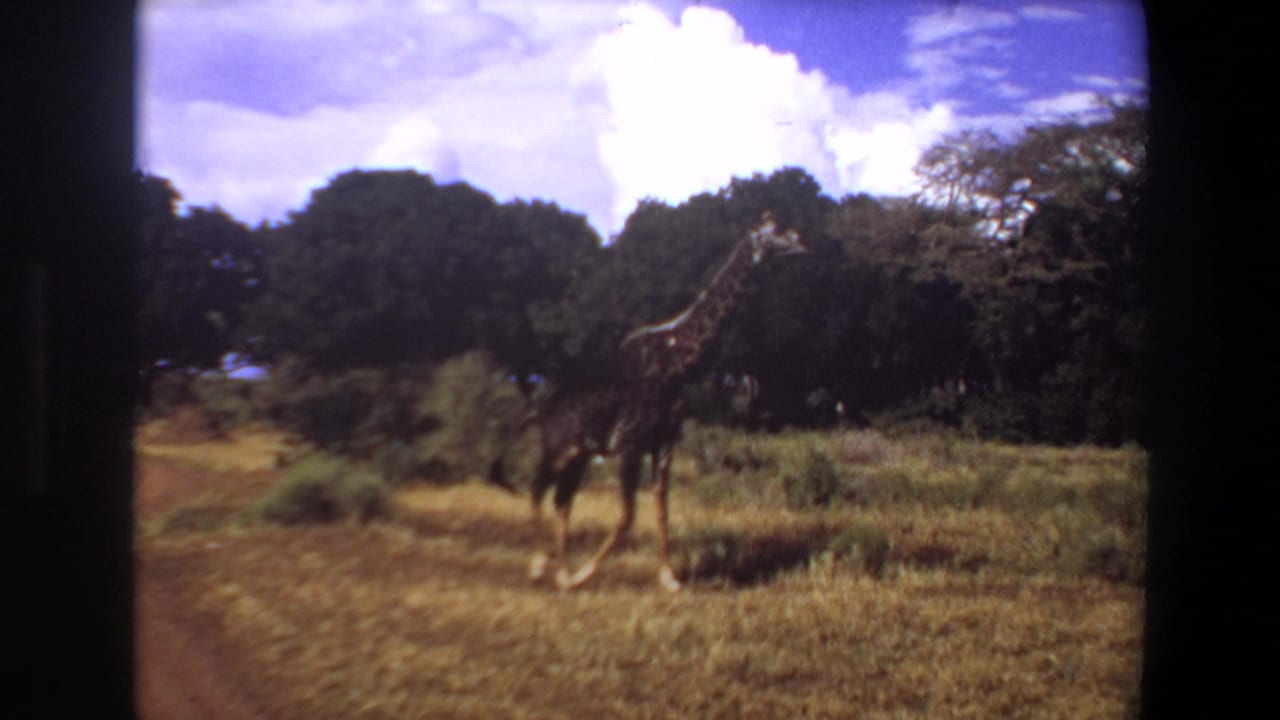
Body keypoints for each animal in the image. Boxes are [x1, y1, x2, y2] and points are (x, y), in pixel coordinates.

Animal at [495, 212, 807, 592]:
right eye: (774, 232)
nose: (801, 242)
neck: (677, 364)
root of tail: (540, 409)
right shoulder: (631, 442)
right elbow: (628, 516)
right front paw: (586, 574)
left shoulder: (664, 440)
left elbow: (661, 508)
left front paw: (670, 577)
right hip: (559, 449)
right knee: (540, 491)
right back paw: (545, 567)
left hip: (578, 455)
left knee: (561, 500)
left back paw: (560, 569)